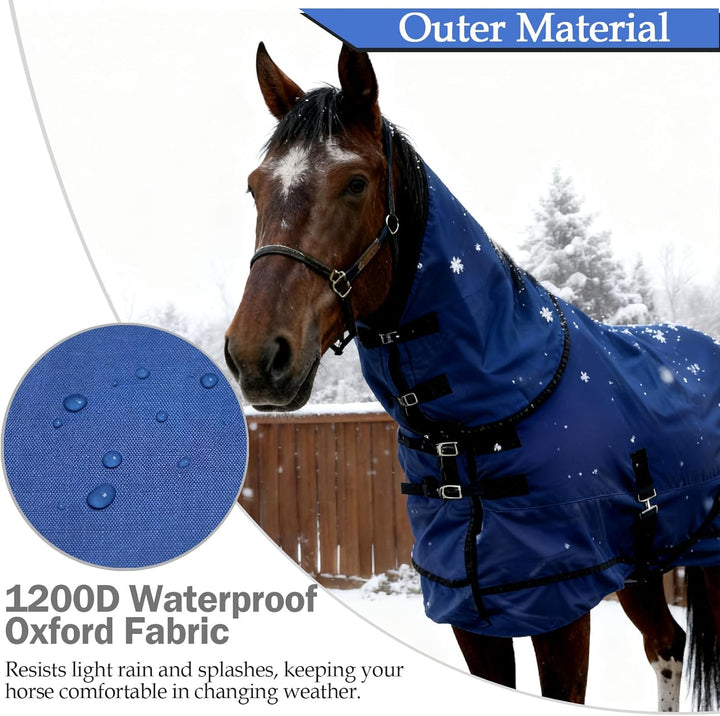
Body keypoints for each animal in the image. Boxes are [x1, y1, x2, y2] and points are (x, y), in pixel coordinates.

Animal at [224, 43, 720, 710]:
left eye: (355, 182)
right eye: (256, 188)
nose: (257, 357)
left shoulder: (560, 606)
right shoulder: (473, 611)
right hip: (640, 565)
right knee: (667, 644)